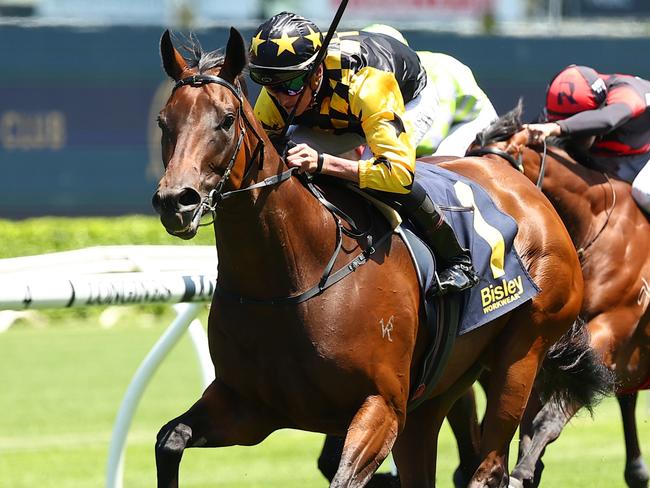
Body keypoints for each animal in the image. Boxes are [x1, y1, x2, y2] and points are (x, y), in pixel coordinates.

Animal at [151, 30, 584, 488]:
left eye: (227, 119)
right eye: (164, 121)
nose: (176, 201)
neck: (292, 278)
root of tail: (520, 183)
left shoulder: (381, 405)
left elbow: (395, 169)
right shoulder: (247, 407)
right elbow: (169, 440)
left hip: (522, 352)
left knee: (491, 466)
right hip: (436, 392)